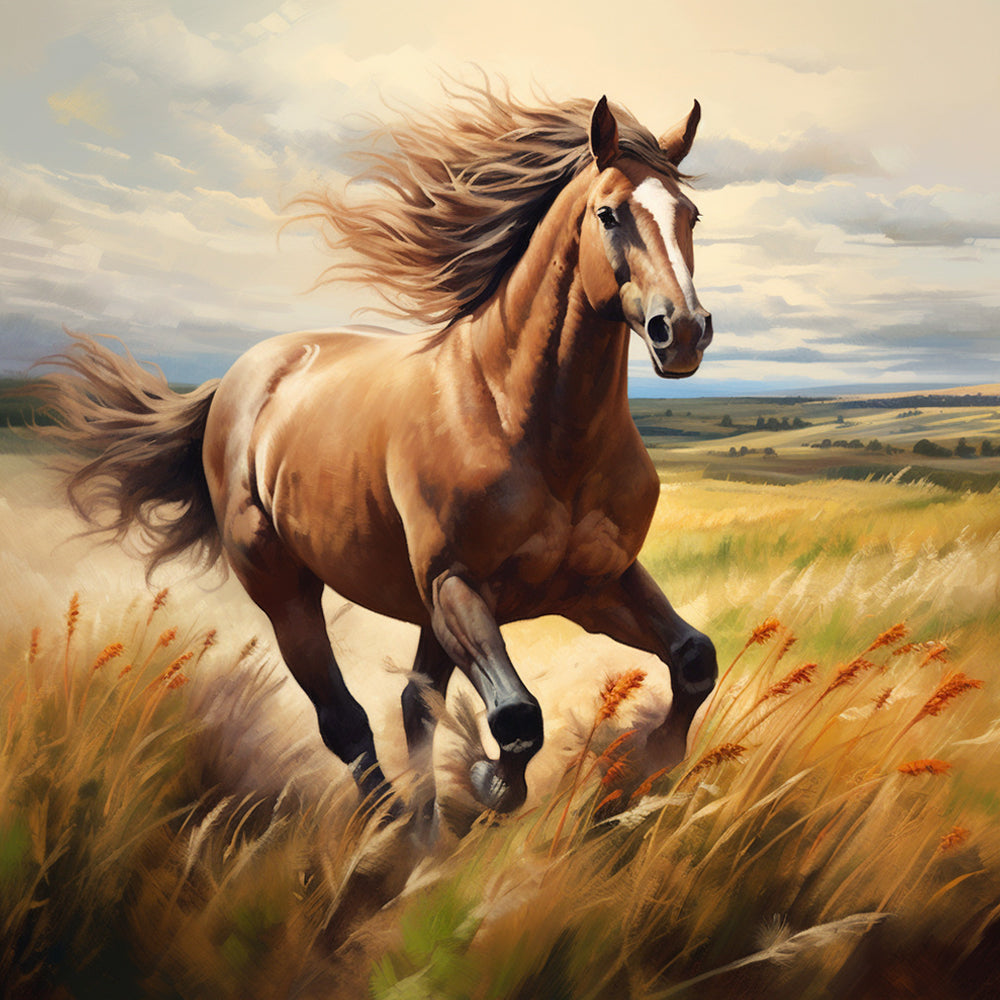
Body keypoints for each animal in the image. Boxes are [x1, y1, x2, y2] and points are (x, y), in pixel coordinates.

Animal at [36, 84, 718, 817]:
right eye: (609, 213)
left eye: (691, 215)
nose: (683, 331)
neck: (527, 424)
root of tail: (240, 377)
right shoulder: (456, 584)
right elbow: (516, 716)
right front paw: (491, 782)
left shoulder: (596, 583)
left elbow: (694, 658)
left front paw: (649, 761)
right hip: (287, 591)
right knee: (346, 720)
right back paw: (392, 827)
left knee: (413, 707)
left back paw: (422, 824)